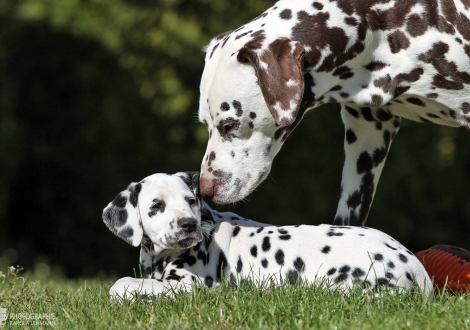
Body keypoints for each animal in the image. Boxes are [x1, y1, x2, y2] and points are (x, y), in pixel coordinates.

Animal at [103, 171, 434, 300]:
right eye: (156, 205)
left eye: (190, 201)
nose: (187, 224)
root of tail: (416, 267)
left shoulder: (190, 286)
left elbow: (123, 283)